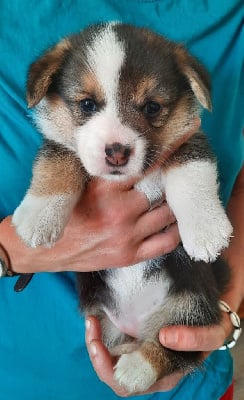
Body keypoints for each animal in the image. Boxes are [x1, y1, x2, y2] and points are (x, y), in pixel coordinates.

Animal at [13, 23, 233, 392]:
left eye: (152, 107)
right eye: (87, 104)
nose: (116, 152)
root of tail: (135, 324)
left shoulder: (190, 141)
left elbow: (191, 175)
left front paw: (205, 230)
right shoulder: (62, 146)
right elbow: (57, 164)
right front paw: (37, 216)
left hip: (190, 309)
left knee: (175, 350)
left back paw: (136, 368)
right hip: (109, 322)